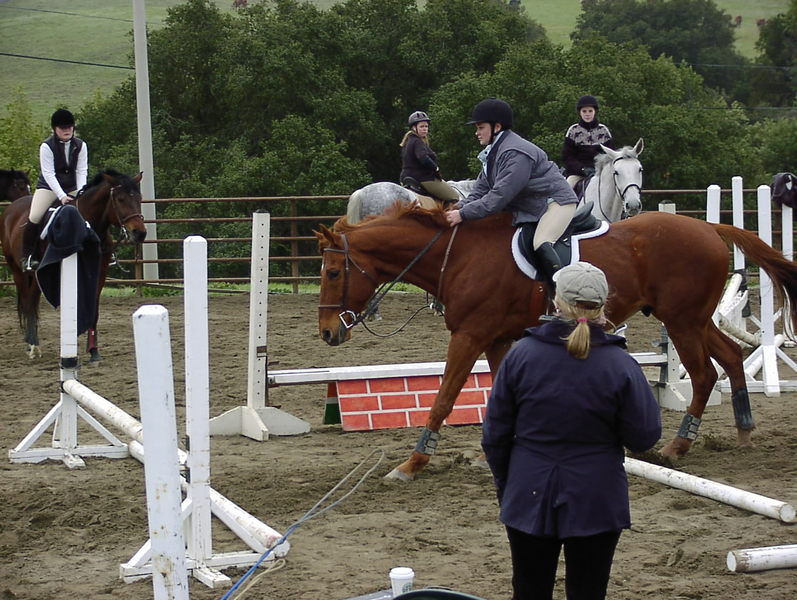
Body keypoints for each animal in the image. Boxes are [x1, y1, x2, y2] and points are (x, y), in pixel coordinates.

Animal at [0, 169, 147, 361]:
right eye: (121, 199)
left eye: (139, 198)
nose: (140, 233)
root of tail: (12, 208)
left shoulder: (99, 273)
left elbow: (94, 310)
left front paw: (93, 351)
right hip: (18, 271)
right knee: (27, 301)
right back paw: (33, 346)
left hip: (37, 274)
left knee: (32, 300)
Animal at [315, 204, 797, 481]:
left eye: (334, 272)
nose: (327, 333)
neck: (459, 255)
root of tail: (710, 229)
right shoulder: (495, 339)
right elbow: (495, 397)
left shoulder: (470, 335)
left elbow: (445, 397)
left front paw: (413, 464)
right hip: (692, 320)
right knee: (730, 356)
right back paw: (744, 429)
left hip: (682, 320)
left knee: (702, 374)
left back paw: (677, 448)